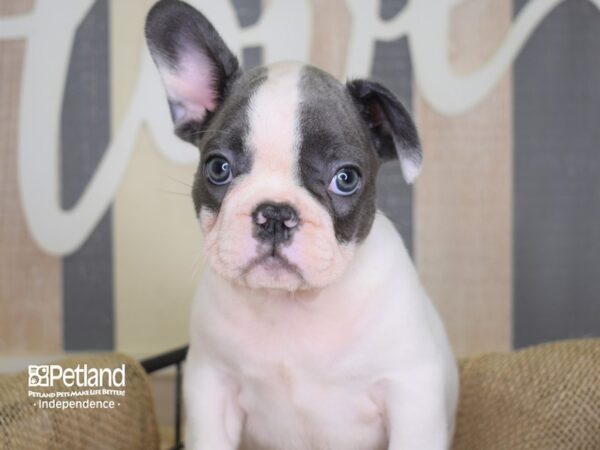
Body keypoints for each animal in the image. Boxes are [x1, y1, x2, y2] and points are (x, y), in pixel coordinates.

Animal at [145, 1, 460, 448]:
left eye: (345, 178)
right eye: (218, 168)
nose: (275, 213)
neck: (294, 305)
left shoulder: (410, 393)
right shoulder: (211, 388)